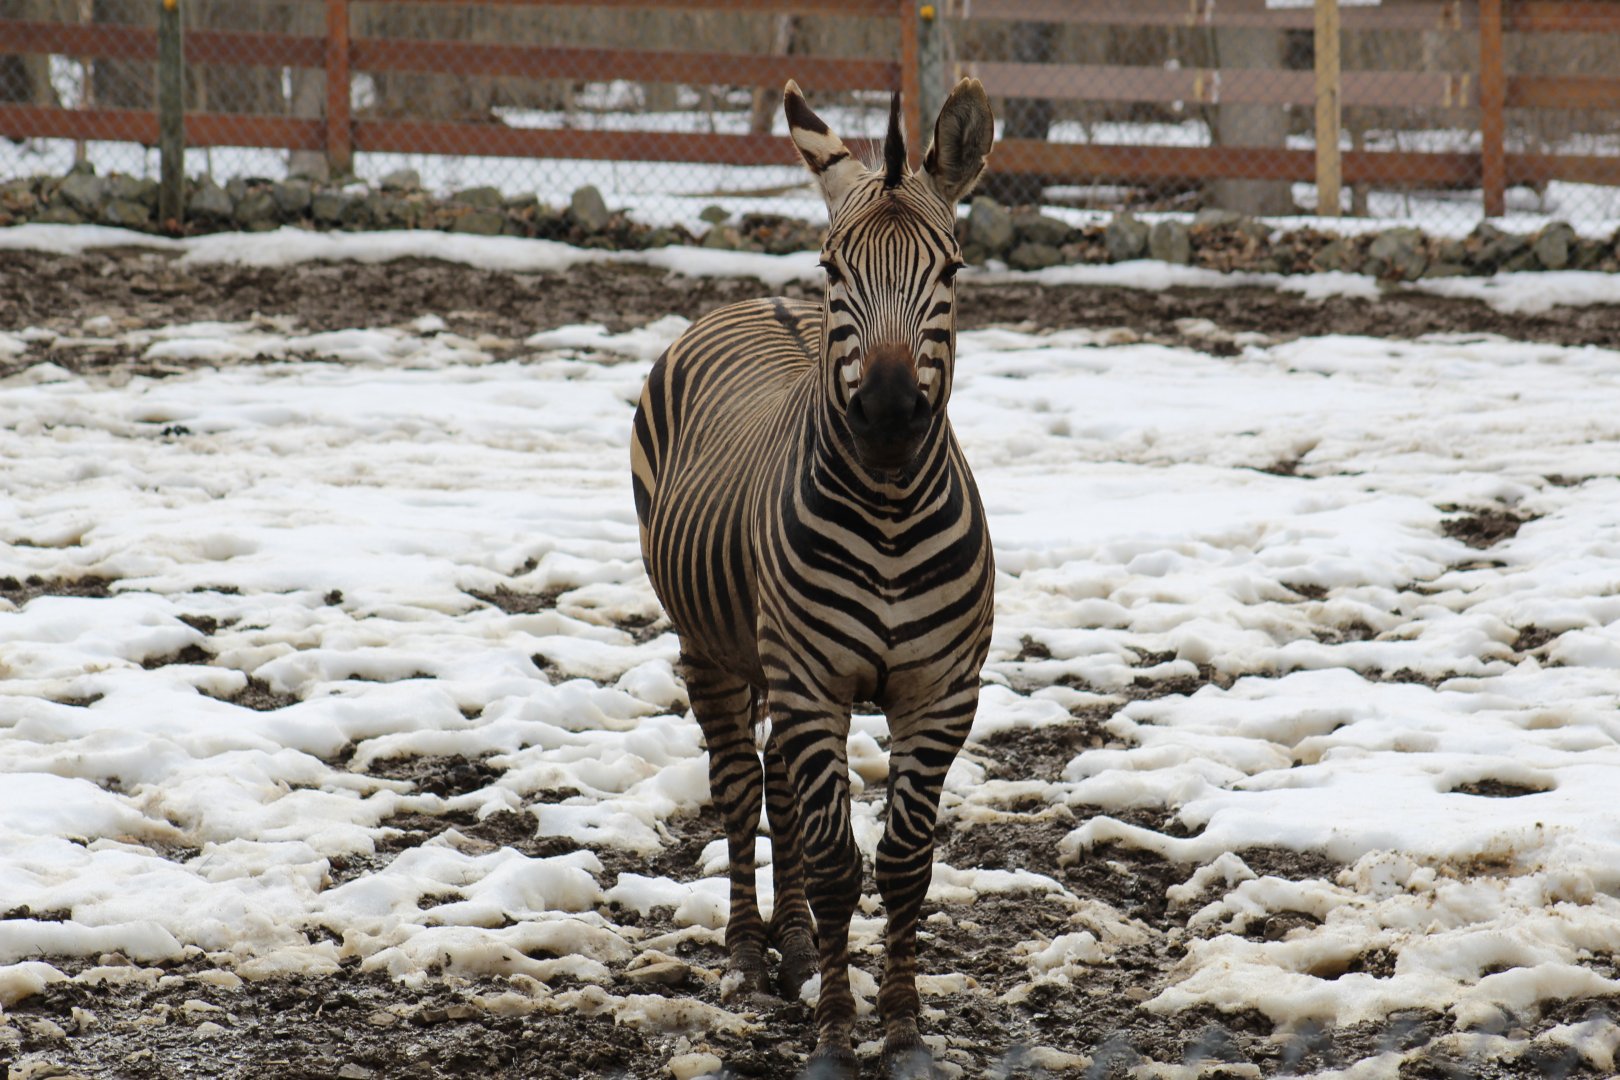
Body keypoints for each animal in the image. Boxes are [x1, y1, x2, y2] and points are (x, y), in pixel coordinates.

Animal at [630, 79, 996, 1078]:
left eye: (951, 273)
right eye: (835, 271)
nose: (888, 412)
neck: (889, 506)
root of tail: (762, 301)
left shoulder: (940, 691)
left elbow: (904, 863)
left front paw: (903, 1033)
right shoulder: (809, 679)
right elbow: (839, 864)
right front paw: (836, 1037)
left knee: (782, 793)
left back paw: (793, 949)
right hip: (712, 649)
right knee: (740, 790)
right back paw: (749, 956)